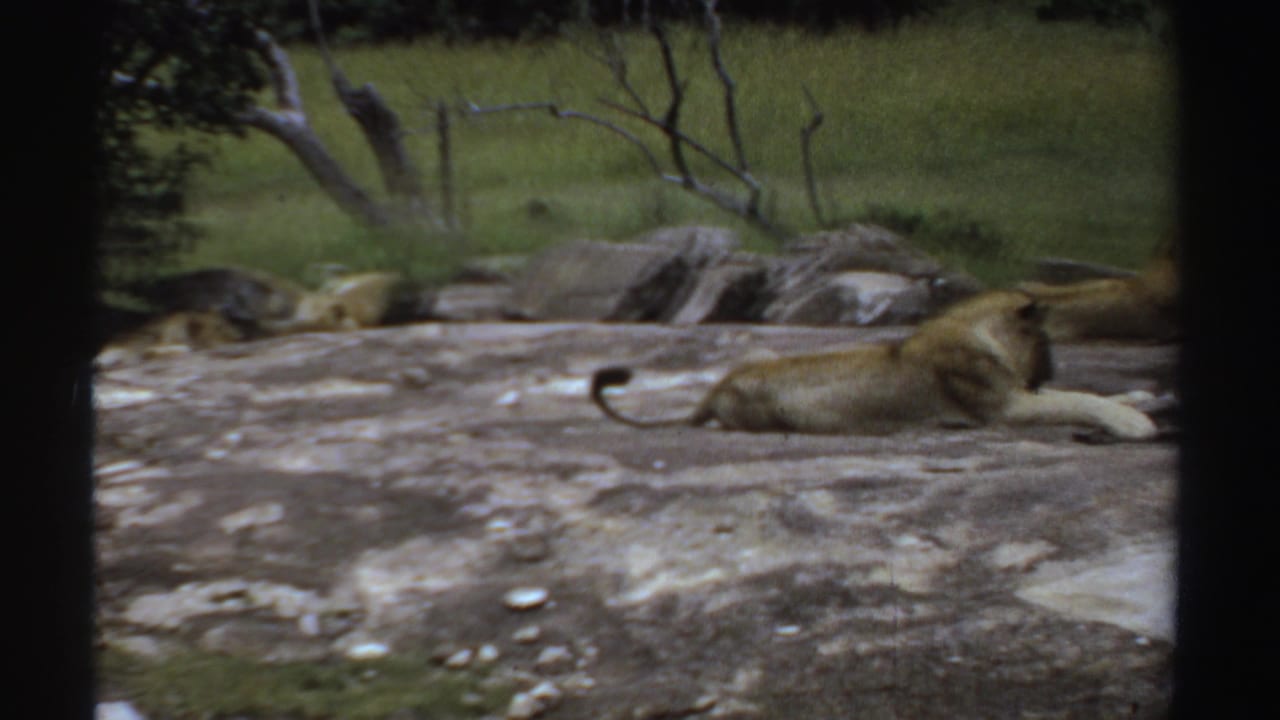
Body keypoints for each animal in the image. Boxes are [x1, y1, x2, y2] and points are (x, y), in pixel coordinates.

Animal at [591, 290, 1157, 439]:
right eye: (1047, 343)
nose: (1050, 371)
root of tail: (716, 388)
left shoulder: (1018, 395)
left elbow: (1092, 393)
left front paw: (1141, 398)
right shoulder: (1005, 407)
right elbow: (1079, 399)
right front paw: (1136, 423)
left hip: (759, 352)